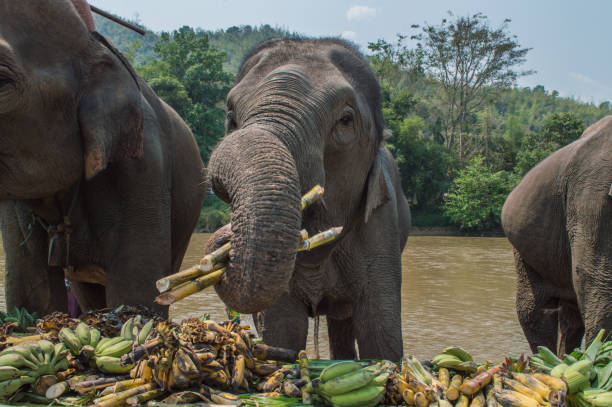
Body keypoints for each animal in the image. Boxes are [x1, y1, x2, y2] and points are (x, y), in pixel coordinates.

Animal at [206, 36, 412, 358]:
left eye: (346, 119)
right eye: (230, 116)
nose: (225, 237)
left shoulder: (380, 228)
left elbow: (381, 337)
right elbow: (283, 331)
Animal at [502, 115, 612, 356]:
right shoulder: (592, 201)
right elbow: (597, 278)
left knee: (570, 316)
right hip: (525, 249)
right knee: (534, 309)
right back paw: (546, 359)